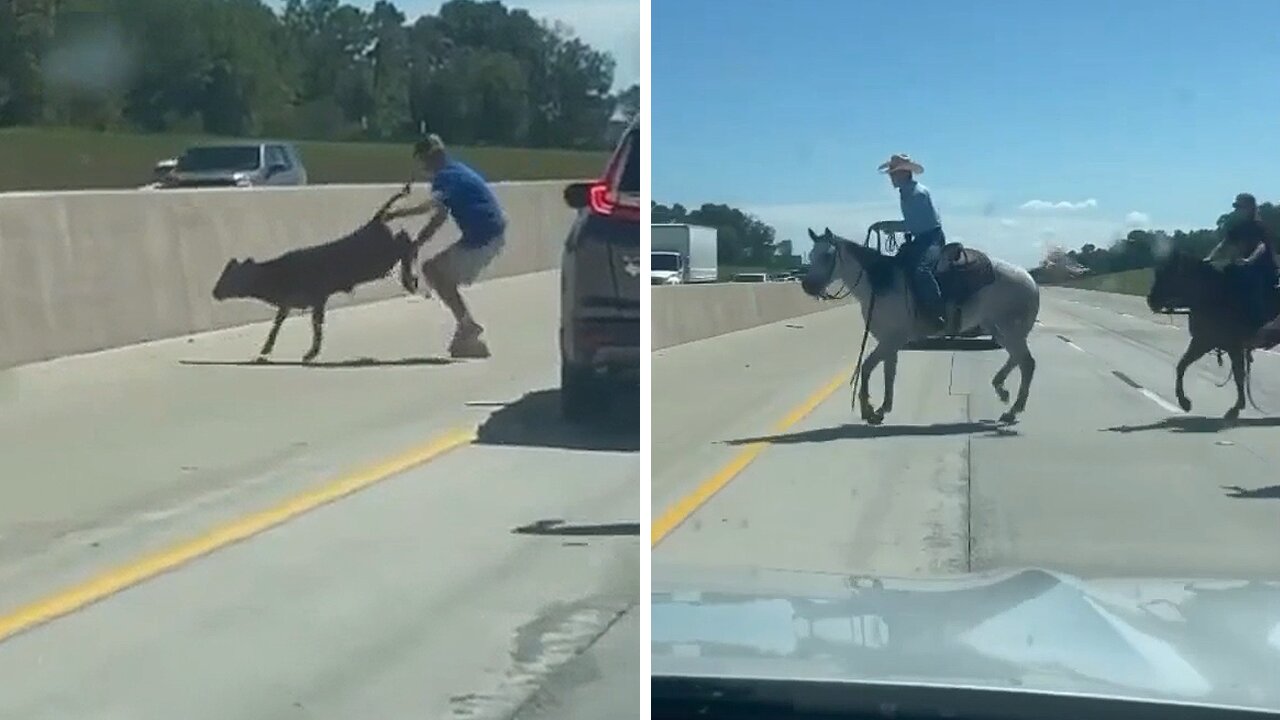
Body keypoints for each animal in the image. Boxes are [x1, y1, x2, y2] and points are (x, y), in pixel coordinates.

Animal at [211, 188, 424, 361]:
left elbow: (316, 323)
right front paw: (265, 350)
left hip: (381, 260)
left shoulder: (318, 297)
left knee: (405, 241)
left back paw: (409, 279)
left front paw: (310, 353)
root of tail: (375, 220)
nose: (214, 292)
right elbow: (278, 323)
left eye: (232, 276)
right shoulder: (289, 302)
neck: (277, 273)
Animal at [798, 226, 1039, 422]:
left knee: (1027, 363)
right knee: (1017, 359)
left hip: (1009, 330)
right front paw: (883, 409)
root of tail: (1029, 279)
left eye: (827, 256)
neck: (881, 284)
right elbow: (888, 373)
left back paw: (1012, 410)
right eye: (811, 255)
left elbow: (867, 368)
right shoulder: (889, 341)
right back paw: (1002, 390)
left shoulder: (891, 339)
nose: (808, 286)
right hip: (1000, 330)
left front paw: (868, 410)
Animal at [1152, 253, 1259, 417]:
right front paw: (1184, 402)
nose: (1150, 300)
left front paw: (1236, 407)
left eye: (1167, 276)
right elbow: (1182, 365)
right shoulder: (1203, 341)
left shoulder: (1231, 345)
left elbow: (1239, 374)